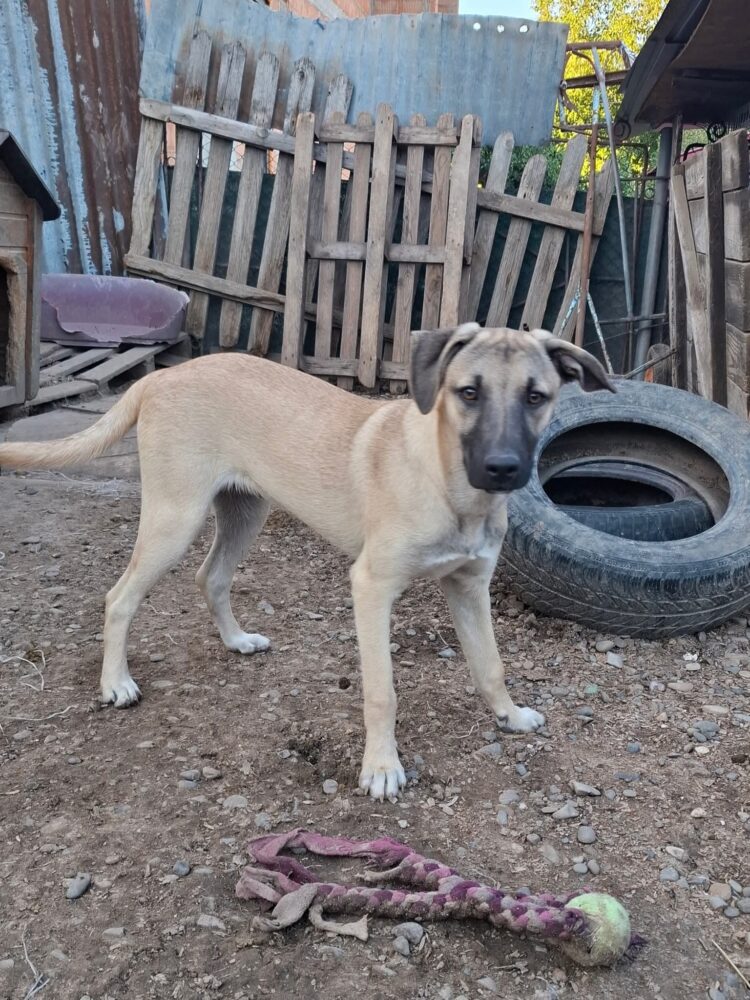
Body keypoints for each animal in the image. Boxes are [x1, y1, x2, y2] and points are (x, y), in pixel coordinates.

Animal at [0, 324, 614, 799]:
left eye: (536, 396)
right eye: (468, 392)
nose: (503, 468)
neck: (450, 486)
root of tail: (160, 376)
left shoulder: (469, 587)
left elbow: (491, 665)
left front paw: (510, 716)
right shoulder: (371, 587)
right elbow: (382, 691)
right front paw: (382, 768)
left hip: (244, 510)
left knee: (210, 576)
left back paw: (236, 641)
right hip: (174, 518)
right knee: (119, 597)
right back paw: (116, 684)